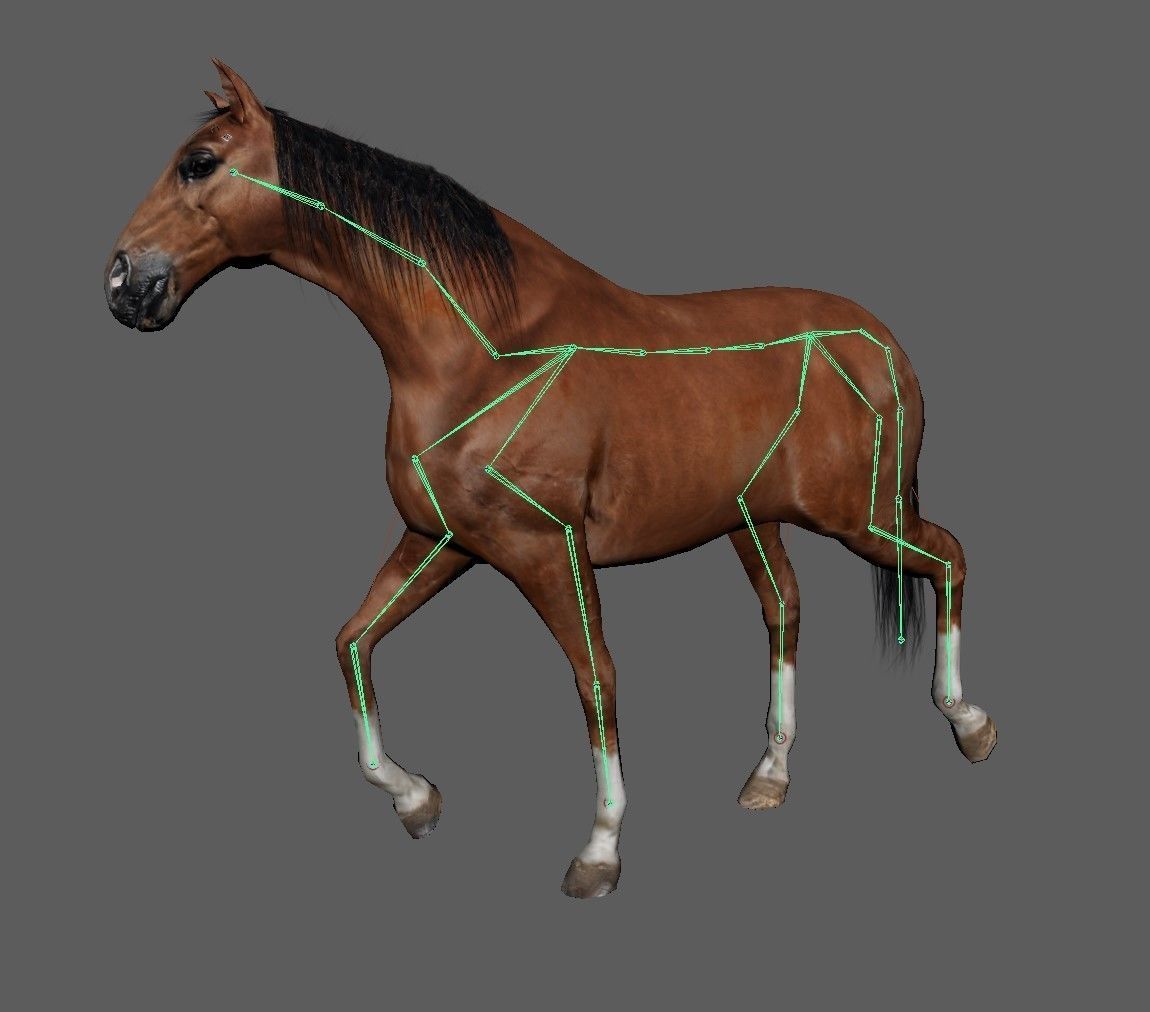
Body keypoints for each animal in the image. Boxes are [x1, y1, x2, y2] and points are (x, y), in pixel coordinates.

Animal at [104, 60, 995, 899]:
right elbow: (352, 642)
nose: (123, 283)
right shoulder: (442, 540)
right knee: (785, 608)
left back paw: (972, 725)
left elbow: (596, 679)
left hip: (857, 517)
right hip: (753, 520)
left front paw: (598, 853)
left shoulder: (545, 549)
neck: (484, 352)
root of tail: (876, 340)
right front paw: (416, 800)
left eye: (198, 162)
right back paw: (769, 775)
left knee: (948, 557)